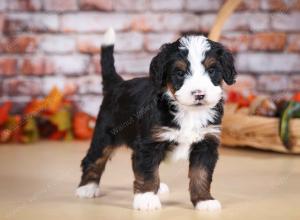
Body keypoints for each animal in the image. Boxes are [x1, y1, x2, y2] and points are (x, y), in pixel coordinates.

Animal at [75, 28, 237, 211]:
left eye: (211, 70)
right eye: (180, 73)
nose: (199, 94)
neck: (188, 112)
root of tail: (118, 84)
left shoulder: (206, 143)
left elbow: (201, 174)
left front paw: (204, 201)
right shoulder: (149, 144)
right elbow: (147, 172)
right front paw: (146, 198)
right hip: (105, 134)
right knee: (93, 158)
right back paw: (87, 187)